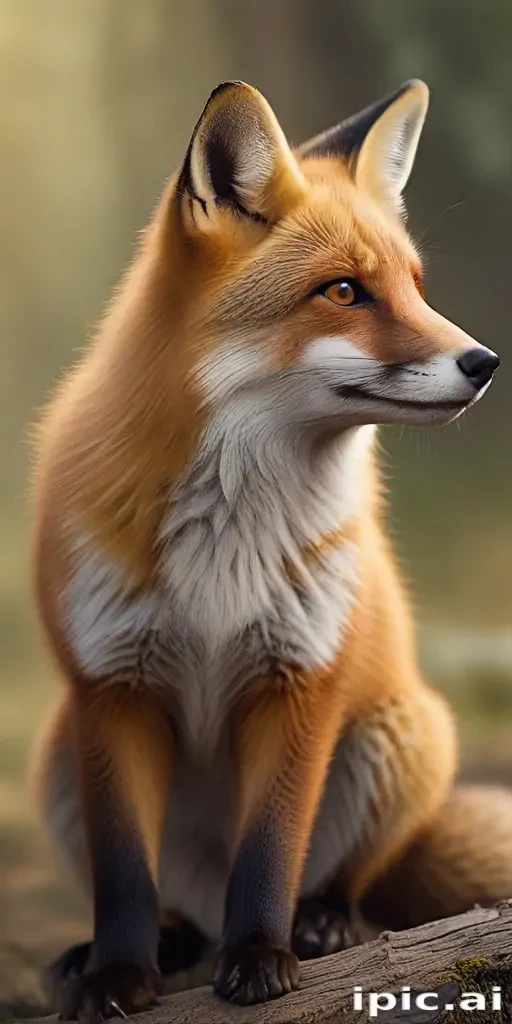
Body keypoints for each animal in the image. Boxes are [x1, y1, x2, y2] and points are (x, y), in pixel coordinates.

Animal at [30, 78, 511, 1019]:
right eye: (344, 291)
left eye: (415, 287)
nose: (485, 361)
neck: (228, 534)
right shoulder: (111, 688)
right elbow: (124, 875)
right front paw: (116, 975)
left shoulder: (300, 678)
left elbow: (270, 851)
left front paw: (261, 958)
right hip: (59, 750)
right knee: (174, 901)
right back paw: (160, 943)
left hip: (406, 732)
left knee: (341, 879)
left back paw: (319, 921)